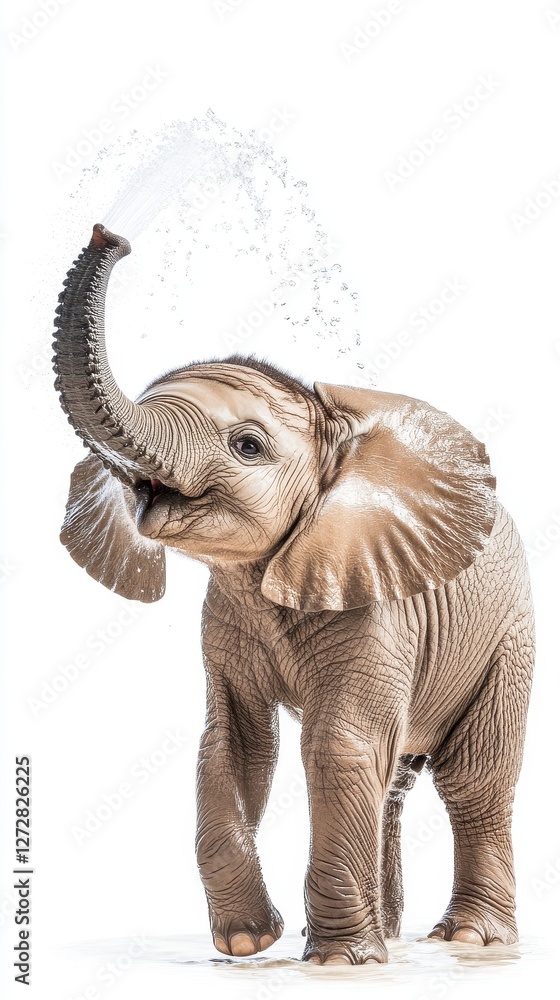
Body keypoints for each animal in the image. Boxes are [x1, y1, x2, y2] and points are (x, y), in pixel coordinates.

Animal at [52, 223, 534, 966]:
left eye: (248, 445)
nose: (112, 233)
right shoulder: (225, 620)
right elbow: (231, 746)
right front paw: (250, 941)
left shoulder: (377, 606)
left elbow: (338, 746)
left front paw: (338, 962)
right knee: (392, 777)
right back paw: (391, 933)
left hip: (508, 632)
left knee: (472, 780)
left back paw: (469, 939)